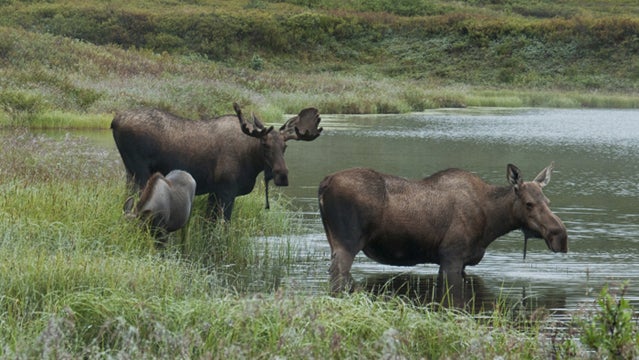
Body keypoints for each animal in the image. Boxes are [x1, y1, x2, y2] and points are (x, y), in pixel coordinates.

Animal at [112, 102, 322, 221]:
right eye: (264, 144)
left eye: (285, 147)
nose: (282, 176)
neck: (251, 162)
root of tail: (114, 121)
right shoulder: (226, 190)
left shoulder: (214, 192)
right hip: (139, 172)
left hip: (130, 172)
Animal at [318, 162, 568, 294]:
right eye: (529, 203)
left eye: (547, 201)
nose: (561, 236)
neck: (492, 223)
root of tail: (325, 183)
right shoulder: (451, 257)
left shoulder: (463, 262)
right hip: (348, 243)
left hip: (333, 241)